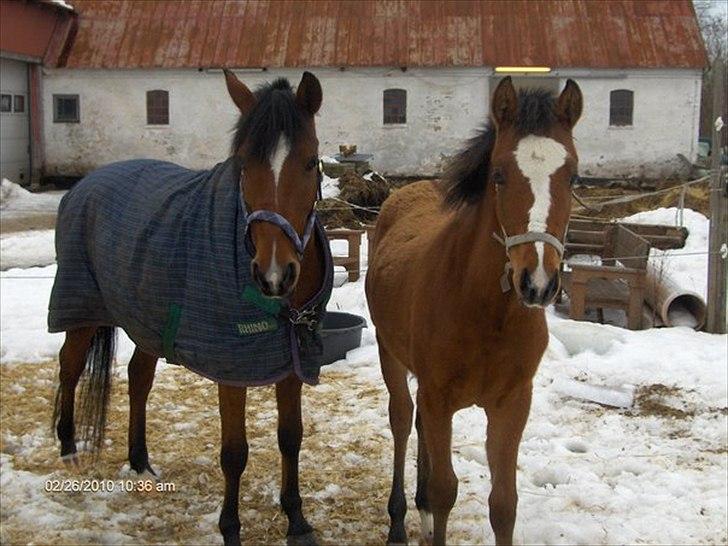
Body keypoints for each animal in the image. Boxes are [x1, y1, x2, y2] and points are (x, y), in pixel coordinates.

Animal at [52, 71, 332, 544]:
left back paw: (140, 462)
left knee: (138, 378)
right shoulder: (231, 369)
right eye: (243, 165)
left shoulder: (292, 361)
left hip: (145, 320)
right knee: (70, 367)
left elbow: (290, 437)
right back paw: (69, 451)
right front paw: (231, 528)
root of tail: (84, 184)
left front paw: (296, 520)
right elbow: (235, 453)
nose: (274, 274)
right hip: (82, 310)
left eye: (311, 163)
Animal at [366, 77, 584, 544]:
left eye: (574, 176)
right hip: (390, 354)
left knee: (418, 427)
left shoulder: (512, 402)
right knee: (402, 419)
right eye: (498, 174)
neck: (486, 313)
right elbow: (446, 490)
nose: (537, 282)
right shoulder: (439, 397)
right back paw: (399, 522)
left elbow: (504, 504)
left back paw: (420, 511)